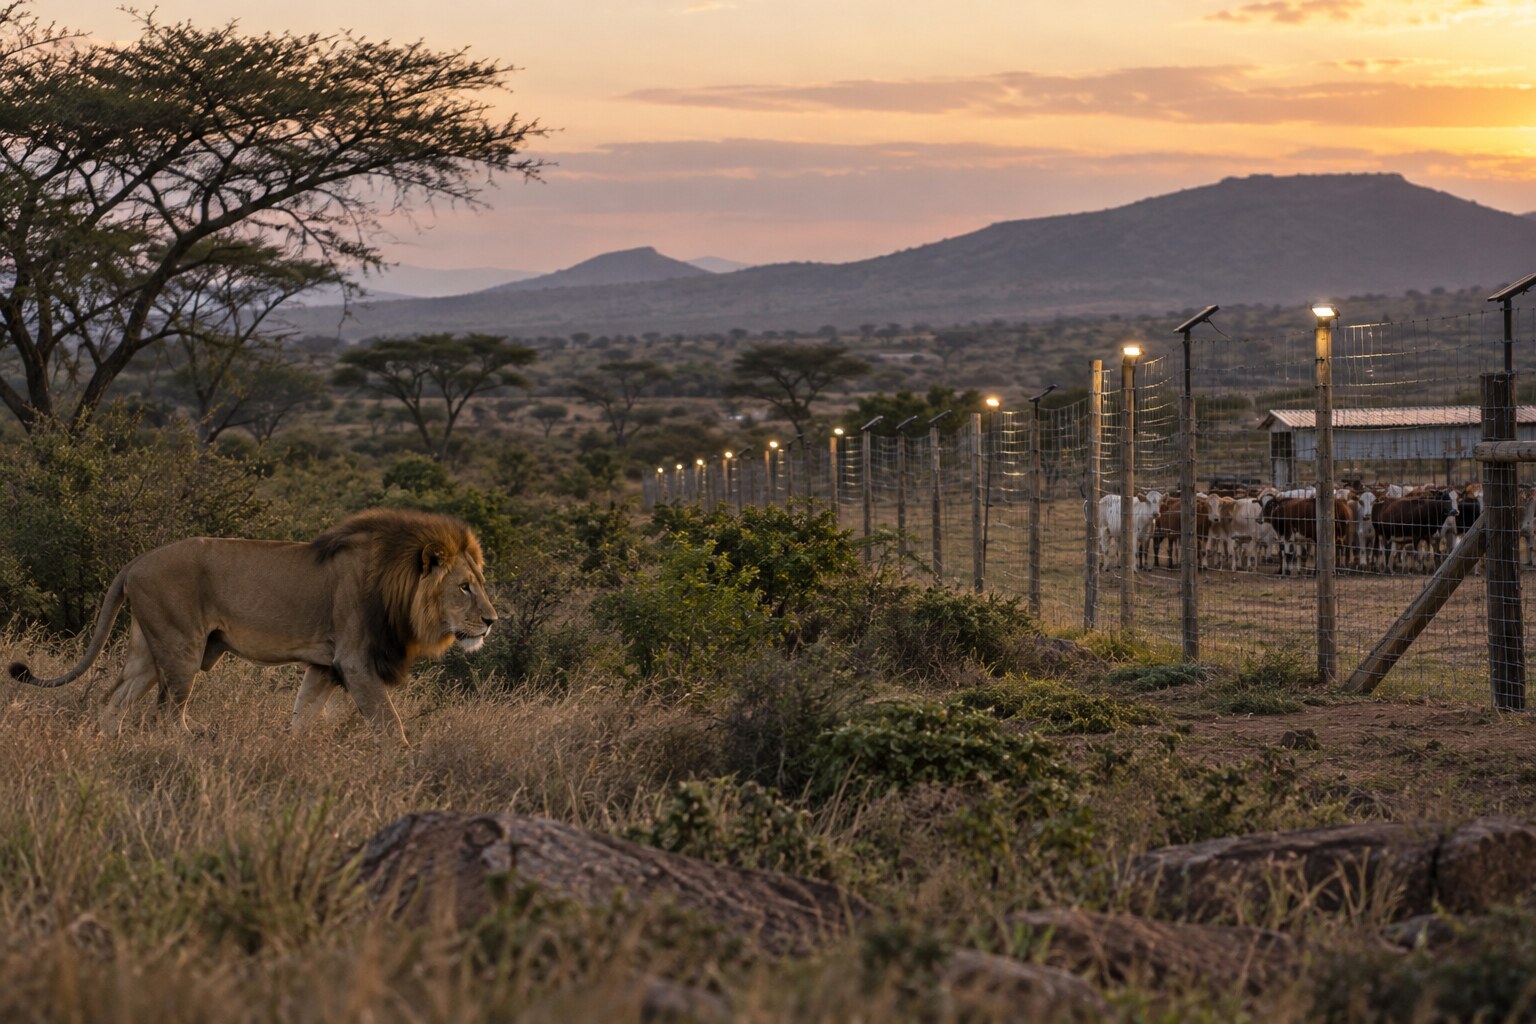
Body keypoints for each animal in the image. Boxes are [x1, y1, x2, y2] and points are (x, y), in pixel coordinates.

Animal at [8, 508, 497, 746]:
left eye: (481, 583)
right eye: (464, 587)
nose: (493, 621)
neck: (397, 586)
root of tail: (135, 562)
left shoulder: (326, 665)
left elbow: (303, 715)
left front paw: (289, 752)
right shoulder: (356, 662)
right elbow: (389, 723)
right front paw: (405, 763)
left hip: (149, 650)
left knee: (114, 701)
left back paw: (109, 745)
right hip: (182, 647)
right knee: (166, 714)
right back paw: (193, 745)